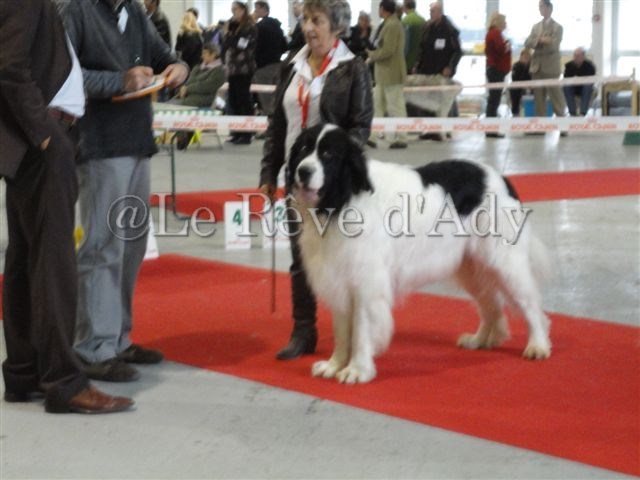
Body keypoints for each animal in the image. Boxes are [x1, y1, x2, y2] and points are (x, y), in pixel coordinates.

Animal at [286, 124, 552, 384]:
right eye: (304, 149)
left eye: (328, 154)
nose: (303, 171)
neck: (344, 198)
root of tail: (501, 178)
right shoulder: (339, 275)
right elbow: (342, 330)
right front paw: (334, 365)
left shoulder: (366, 282)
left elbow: (361, 329)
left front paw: (357, 370)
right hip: (472, 266)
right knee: (491, 303)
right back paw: (481, 339)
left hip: (504, 261)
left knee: (529, 304)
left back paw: (538, 345)